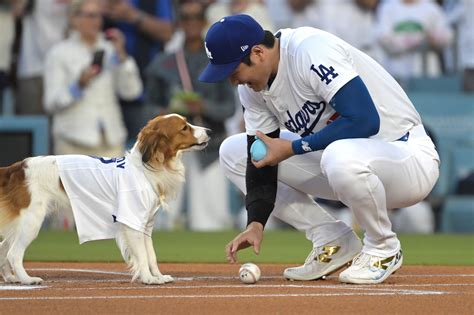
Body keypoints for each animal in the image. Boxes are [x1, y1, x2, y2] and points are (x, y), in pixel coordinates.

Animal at [0, 114, 209, 286]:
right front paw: (148, 278)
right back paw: (27, 279)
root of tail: (17, 168)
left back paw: (11, 278)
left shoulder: (145, 225)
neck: (144, 169)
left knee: (4, 249)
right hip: (31, 222)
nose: (209, 131)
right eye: (184, 128)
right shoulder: (132, 224)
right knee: (14, 254)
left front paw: (157, 276)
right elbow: (142, 256)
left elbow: (151, 256)